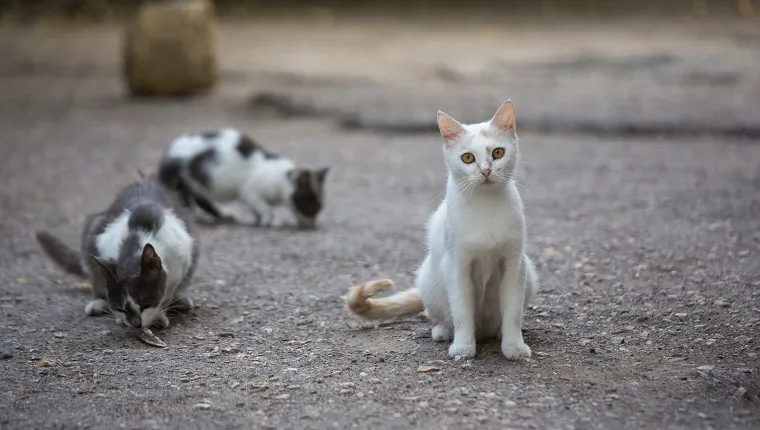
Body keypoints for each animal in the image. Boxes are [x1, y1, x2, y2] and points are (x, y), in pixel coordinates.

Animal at [36, 178, 197, 330]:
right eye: (121, 309)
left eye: (144, 304)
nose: (136, 324)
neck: (137, 235)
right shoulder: (103, 242)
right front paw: (121, 319)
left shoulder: (181, 256)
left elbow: (167, 293)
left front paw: (159, 315)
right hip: (94, 227)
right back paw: (98, 302)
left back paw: (180, 300)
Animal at [159, 127, 328, 228]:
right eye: (311, 203)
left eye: (319, 207)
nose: (312, 223)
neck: (281, 177)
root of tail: (166, 156)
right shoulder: (249, 191)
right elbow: (263, 206)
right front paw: (270, 219)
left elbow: (257, 208)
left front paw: (260, 219)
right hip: (186, 178)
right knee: (187, 199)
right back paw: (198, 216)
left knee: (200, 200)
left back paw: (222, 216)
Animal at [348, 100, 536, 360]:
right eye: (467, 158)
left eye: (498, 153)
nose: (486, 170)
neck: (486, 205)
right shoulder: (457, 265)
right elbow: (462, 310)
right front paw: (463, 346)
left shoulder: (514, 264)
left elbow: (513, 311)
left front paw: (514, 346)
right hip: (429, 278)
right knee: (440, 314)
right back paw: (443, 331)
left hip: (530, 274)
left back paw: (497, 333)